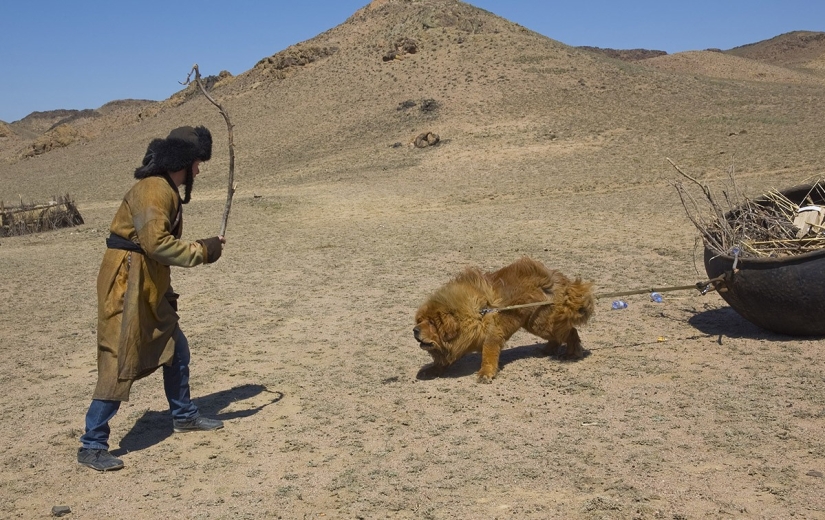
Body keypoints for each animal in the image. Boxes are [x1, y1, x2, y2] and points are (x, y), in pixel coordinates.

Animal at [413, 257, 595, 383]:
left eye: (432, 323)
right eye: (419, 321)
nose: (414, 330)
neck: (472, 313)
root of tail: (553, 278)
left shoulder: (492, 335)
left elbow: (488, 354)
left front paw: (486, 373)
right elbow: (442, 360)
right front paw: (432, 370)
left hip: (540, 323)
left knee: (570, 331)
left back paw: (572, 353)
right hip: (536, 323)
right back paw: (547, 350)